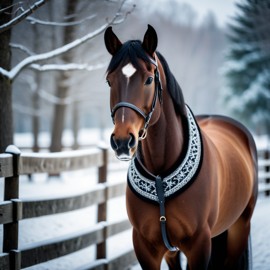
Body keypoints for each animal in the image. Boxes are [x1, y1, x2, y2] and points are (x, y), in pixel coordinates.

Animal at [103, 24, 258, 268]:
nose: (121, 141)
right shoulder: (146, 247)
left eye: (149, 79)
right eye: (110, 80)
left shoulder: (199, 244)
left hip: (239, 229)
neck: (160, 174)